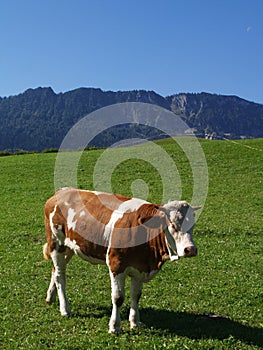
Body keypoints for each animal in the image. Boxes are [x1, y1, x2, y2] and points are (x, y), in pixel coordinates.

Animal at [43, 187, 200, 332]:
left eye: (192, 225)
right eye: (172, 225)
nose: (190, 249)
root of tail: (62, 191)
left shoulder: (139, 267)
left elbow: (136, 296)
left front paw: (135, 322)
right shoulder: (116, 264)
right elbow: (118, 298)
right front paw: (114, 326)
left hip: (69, 248)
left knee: (55, 270)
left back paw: (50, 298)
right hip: (56, 244)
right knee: (60, 276)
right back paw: (65, 309)